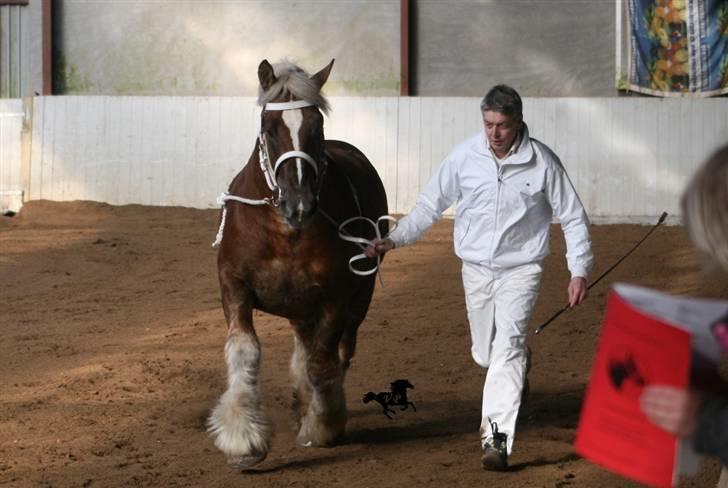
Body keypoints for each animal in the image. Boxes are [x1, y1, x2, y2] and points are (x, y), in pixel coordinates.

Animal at [208, 60, 390, 468]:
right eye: (269, 128)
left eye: (316, 125)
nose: (299, 203)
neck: (283, 231)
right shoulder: (234, 287)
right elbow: (244, 352)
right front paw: (244, 439)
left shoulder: (335, 298)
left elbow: (322, 361)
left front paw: (322, 425)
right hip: (300, 308)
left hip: (357, 300)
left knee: (338, 352)